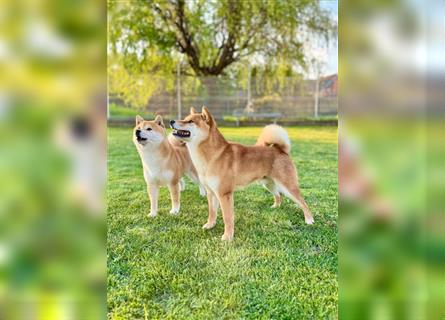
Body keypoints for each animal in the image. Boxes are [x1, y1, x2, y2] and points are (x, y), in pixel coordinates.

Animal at [170, 107, 312, 240]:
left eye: (190, 121)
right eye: (185, 118)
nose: (171, 121)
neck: (213, 155)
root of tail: (281, 150)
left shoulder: (225, 194)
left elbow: (227, 218)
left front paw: (227, 237)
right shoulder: (211, 192)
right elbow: (212, 212)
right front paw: (210, 225)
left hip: (288, 187)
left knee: (303, 202)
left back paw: (309, 220)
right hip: (268, 183)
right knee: (278, 196)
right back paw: (275, 207)